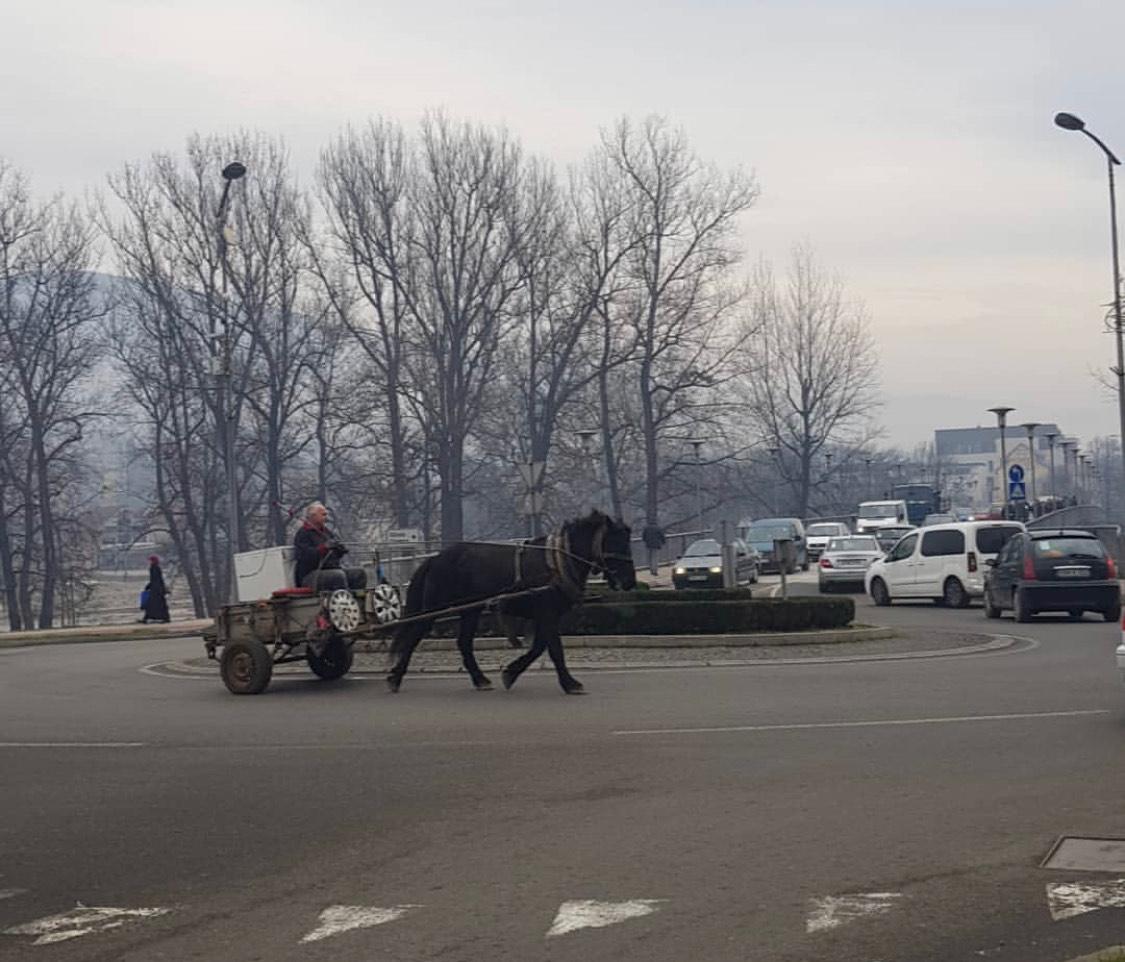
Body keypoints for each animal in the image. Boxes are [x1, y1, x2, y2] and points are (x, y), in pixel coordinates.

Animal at [384, 510, 634, 693]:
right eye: (616, 543)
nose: (630, 581)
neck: (557, 561)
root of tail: (435, 558)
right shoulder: (547, 612)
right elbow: (554, 649)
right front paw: (570, 683)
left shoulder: (546, 615)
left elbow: (539, 647)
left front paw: (511, 673)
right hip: (436, 607)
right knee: (415, 635)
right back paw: (396, 677)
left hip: (471, 611)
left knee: (463, 642)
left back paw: (480, 679)